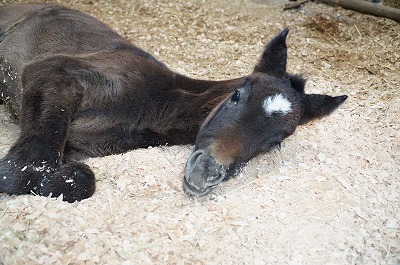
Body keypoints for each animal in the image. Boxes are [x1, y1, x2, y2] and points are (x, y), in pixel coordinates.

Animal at [0, 3, 346, 201]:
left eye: (276, 141)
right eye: (237, 96)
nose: (207, 172)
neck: (154, 106)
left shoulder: (80, 148)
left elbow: (78, 178)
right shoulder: (53, 72)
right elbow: (19, 169)